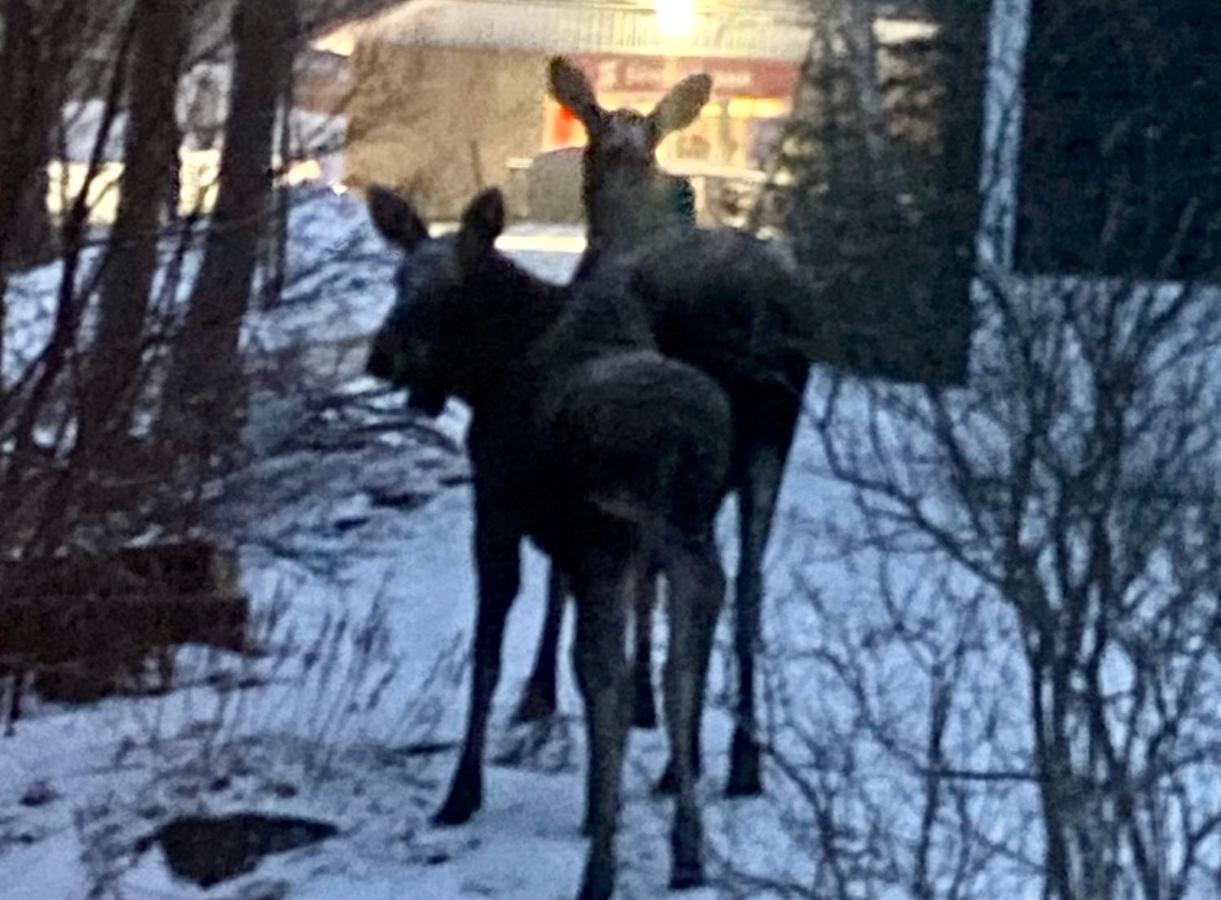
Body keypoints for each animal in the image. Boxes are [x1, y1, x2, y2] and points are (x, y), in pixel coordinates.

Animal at [363, 184, 732, 898]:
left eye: (450, 286)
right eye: (397, 277)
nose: (381, 356)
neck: (491, 370)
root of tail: (681, 448)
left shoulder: (497, 510)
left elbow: (488, 656)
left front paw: (461, 794)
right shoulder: (572, 545)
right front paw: (591, 807)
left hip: (613, 540)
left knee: (615, 683)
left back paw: (601, 872)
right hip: (689, 545)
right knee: (679, 671)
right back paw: (686, 850)